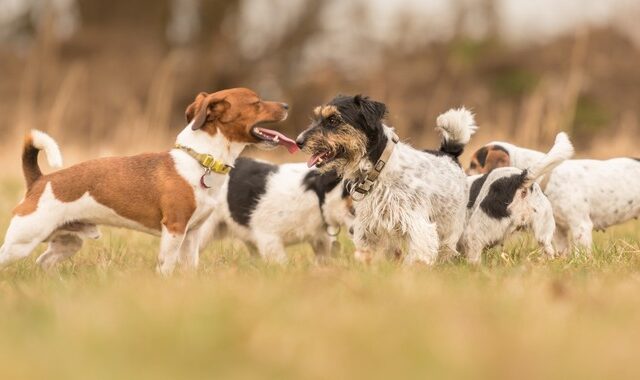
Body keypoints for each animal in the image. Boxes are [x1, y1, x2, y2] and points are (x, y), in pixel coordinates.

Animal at [0, 87, 298, 274]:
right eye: (256, 103)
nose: (286, 105)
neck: (201, 160)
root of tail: (39, 180)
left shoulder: (192, 234)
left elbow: (189, 267)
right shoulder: (174, 229)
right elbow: (166, 265)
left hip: (68, 242)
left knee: (44, 262)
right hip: (22, 241)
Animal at [294, 95, 476, 264]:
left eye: (333, 120)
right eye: (317, 117)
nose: (298, 142)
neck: (377, 170)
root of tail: (449, 153)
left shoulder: (418, 226)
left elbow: (417, 258)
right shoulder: (367, 229)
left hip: (450, 227)